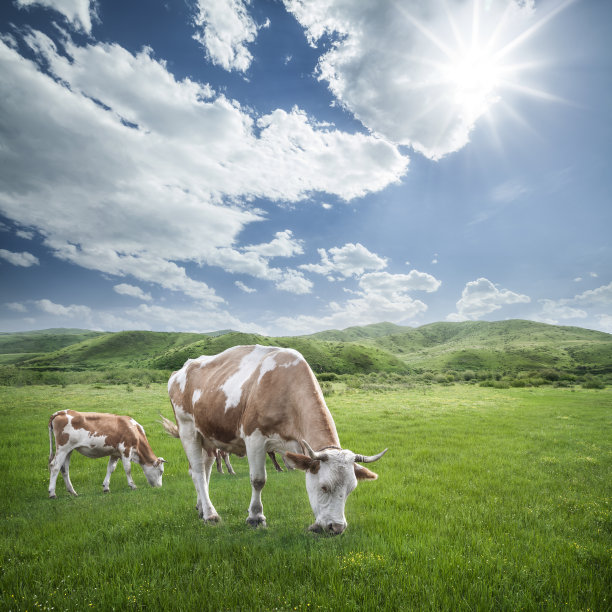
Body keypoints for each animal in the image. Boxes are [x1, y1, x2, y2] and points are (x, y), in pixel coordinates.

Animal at [166, 344, 388, 536]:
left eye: (351, 489)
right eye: (324, 487)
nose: (337, 528)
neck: (286, 387)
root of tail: (181, 371)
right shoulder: (254, 438)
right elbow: (258, 480)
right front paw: (256, 518)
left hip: (209, 437)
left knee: (205, 471)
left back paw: (201, 508)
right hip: (188, 430)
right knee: (197, 472)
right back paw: (211, 515)